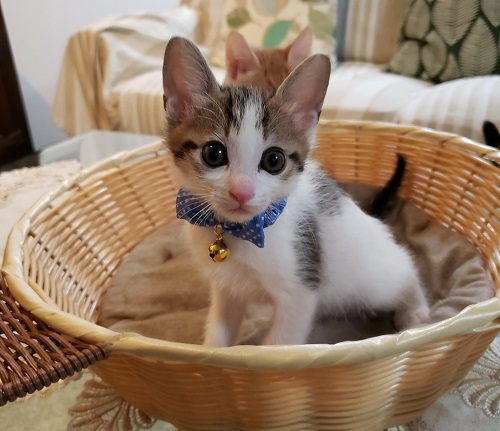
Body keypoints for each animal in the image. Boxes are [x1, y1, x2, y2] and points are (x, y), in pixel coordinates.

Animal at [162, 37, 430, 347]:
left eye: (274, 160)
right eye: (213, 154)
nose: (242, 192)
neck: (239, 231)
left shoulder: (301, 289)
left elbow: (279, 344)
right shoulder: (226, 286)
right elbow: (219, 333)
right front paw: (213, 353)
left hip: (373, 279)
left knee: (404, 267)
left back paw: (416, 309)